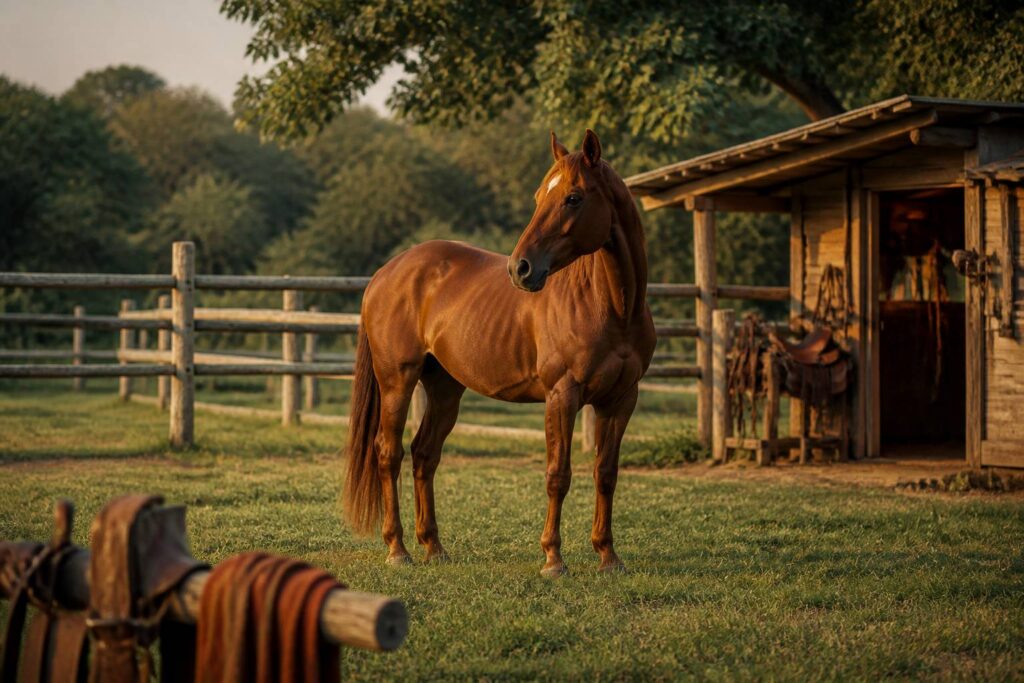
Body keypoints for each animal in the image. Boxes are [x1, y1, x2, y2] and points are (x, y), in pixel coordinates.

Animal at [343, 129, 656, 577]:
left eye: (573, 197)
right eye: (539, 195)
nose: (520, 268)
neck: (610, 306)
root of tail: (385, 273)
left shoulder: (621, 399)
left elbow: (606, 474)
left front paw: (608, 556)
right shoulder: (562, 396)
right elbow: (558, 475)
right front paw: (553, 559)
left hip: (445, 388)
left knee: (424, 455)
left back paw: (433, 546)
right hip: (397, 382)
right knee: (389, 454)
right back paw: (397, 549)